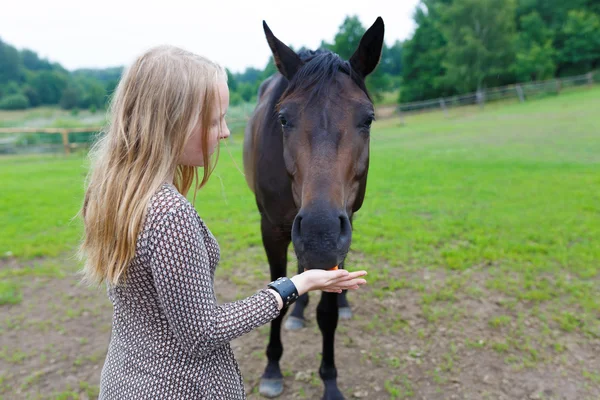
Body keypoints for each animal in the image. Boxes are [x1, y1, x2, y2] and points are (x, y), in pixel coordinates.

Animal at [243, 17, 384, 398]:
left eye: (368, 119)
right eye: (283, 119)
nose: (320, 234)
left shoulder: (344, 226)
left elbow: (328, 314)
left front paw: (330, 382)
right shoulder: (271, 229)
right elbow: (276, 299)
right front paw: (272, 369)